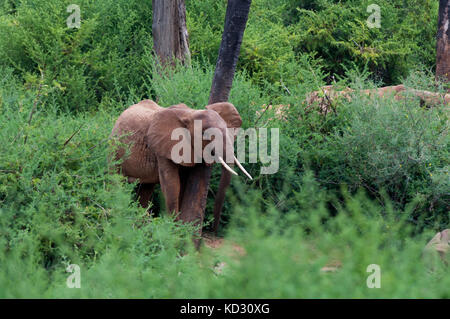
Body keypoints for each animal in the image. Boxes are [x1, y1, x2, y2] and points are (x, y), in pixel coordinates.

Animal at [110, 100, 251, 240]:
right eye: (204, 134)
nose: (213, 233)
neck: (191, 114)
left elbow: (182, 183)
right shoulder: (162, 147)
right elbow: (172, 184)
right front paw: (175, 230)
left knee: (146, 188)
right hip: (114, 149)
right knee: (115, 179)